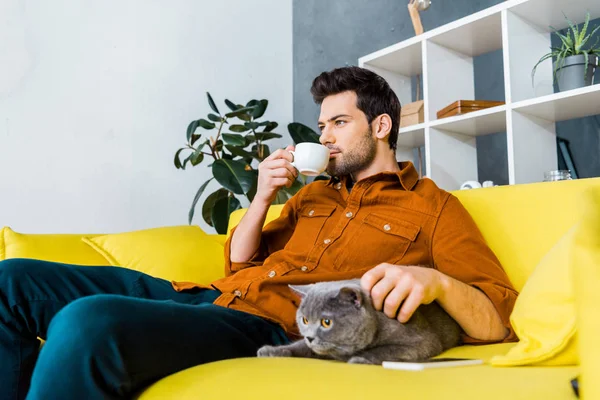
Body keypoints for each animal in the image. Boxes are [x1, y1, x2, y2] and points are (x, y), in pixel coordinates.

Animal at [256, 280, 460, 364]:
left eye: (326, 322)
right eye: (304, 320)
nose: (310, 337)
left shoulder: (422, 340)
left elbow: (387, 349)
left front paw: (361, 358)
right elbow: (300, 347)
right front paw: (271, 351)